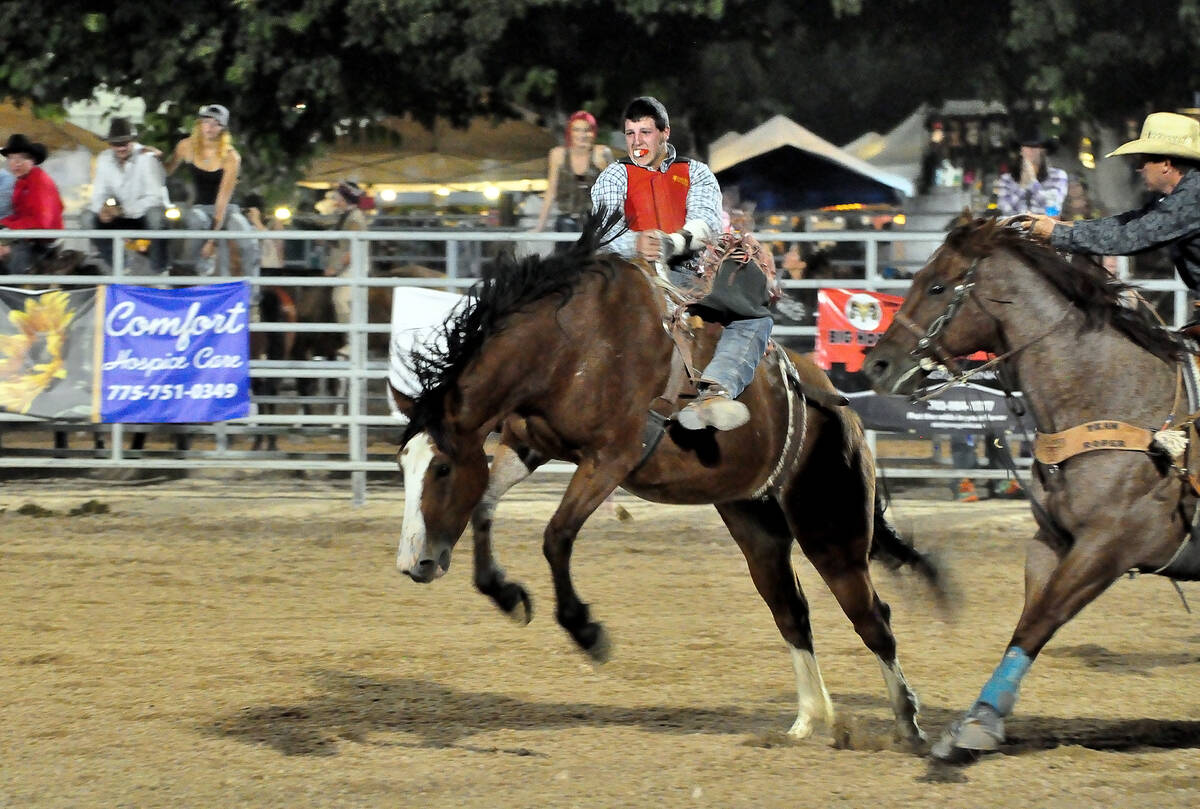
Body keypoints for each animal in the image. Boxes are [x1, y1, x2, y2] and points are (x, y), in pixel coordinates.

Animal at [864, 216, 1190, 763]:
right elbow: (1030, 622)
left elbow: (1043, 618)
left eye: (937, 286)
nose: (875, 366)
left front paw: (977, 725)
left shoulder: (1110, 546)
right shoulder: (1051, 542)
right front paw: (979, 719)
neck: (1117, 398)